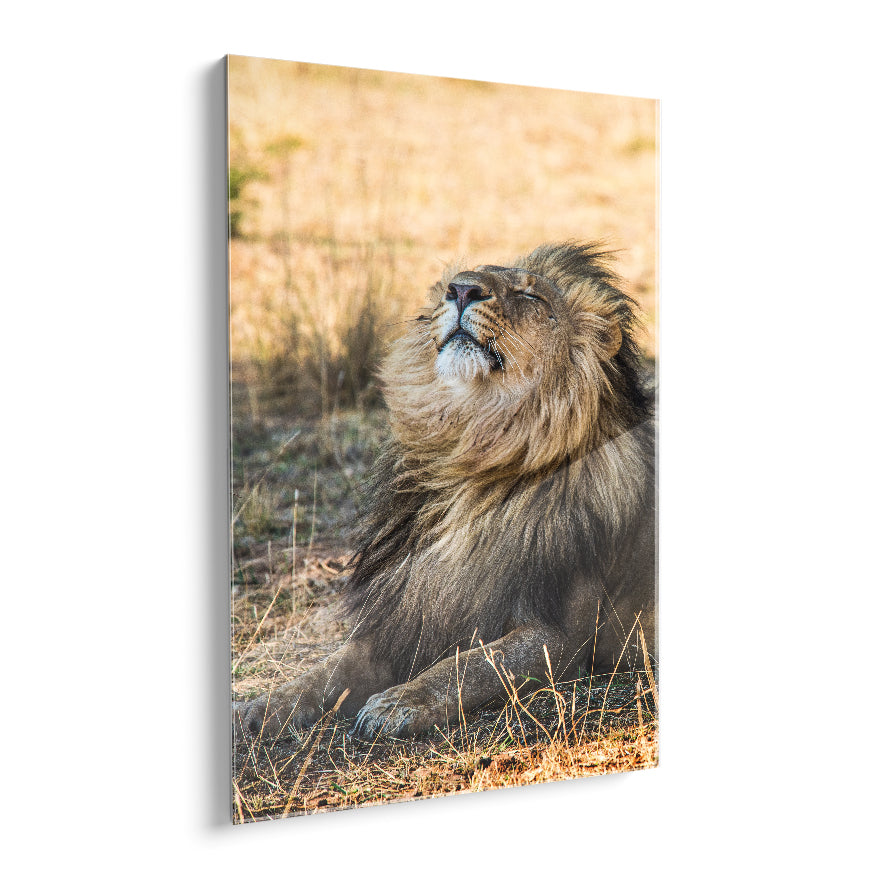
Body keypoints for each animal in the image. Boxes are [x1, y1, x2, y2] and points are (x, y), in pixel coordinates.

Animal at [236, 241, 656, 741]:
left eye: (530, 296)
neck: (474, 457)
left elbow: (468, 664)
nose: (462, 289)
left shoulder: (562, 636)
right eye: (452, 285)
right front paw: (258, 707)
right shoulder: (402, 617)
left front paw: (399, 702)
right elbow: (323, 673)